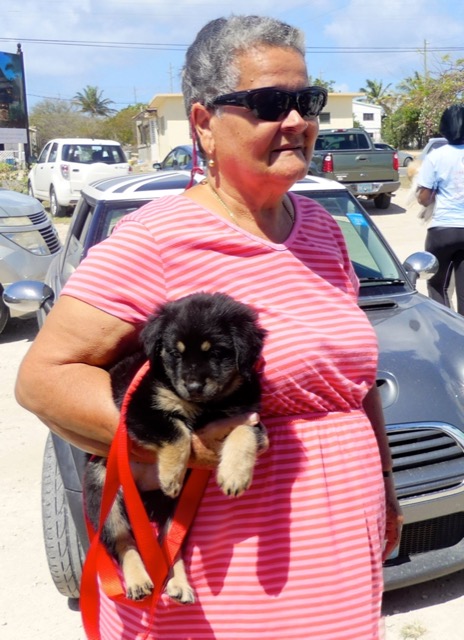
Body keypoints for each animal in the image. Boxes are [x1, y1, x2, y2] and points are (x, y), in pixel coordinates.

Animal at [85, 292, 268, 604]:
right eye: (175, 352)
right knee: (123, 541)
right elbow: (176, 431)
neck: (208, 406)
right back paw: (138, 581)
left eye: (217, 352)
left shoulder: (250, 415)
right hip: (104, 491)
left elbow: (244, 433)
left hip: (179, 509)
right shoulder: (139, 411)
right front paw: (171, 475)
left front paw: (235, 476)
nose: (193, 386)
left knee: (171, 545)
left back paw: (179, 584)